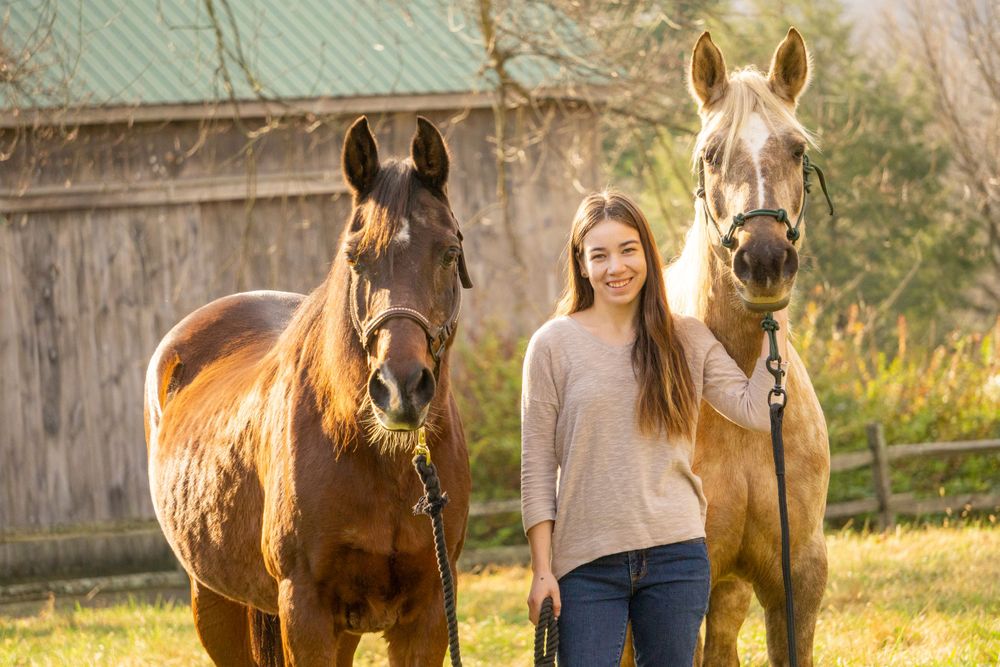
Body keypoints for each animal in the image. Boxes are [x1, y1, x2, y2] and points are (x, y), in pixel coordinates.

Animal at [144, 116, 472, 666]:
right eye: (354, 257)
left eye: (450, 252)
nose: (400, 388)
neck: (374, 457)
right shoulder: (306, 613)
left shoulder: (426, 615)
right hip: (213, 603)